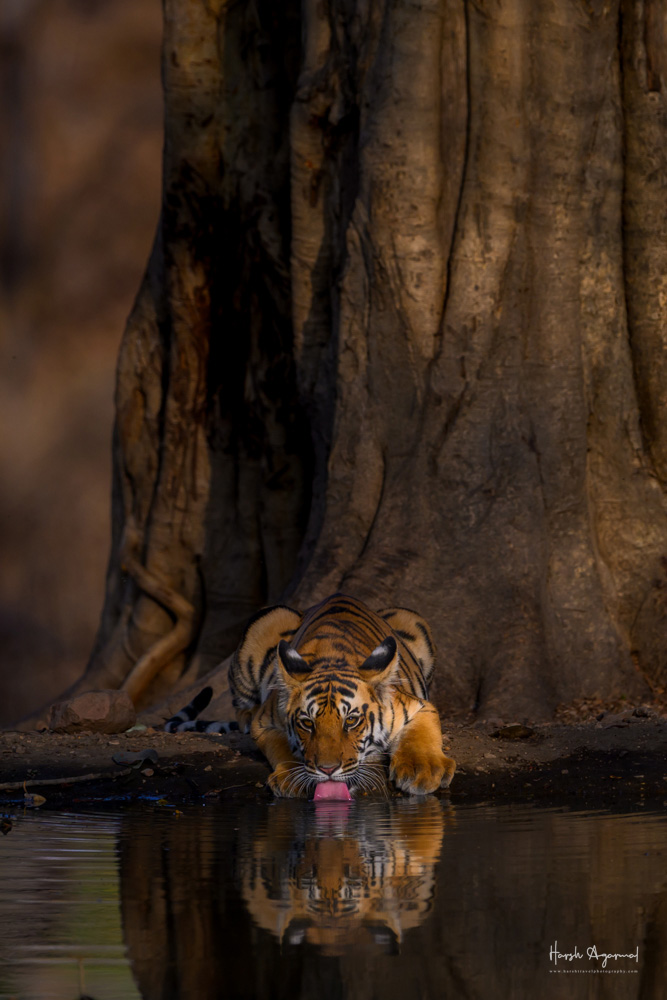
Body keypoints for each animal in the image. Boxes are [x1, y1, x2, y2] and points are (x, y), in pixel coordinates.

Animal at [166, 594, 456, 798]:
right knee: (241, 706)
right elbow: (280, 746)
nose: (327, 770)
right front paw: (290, 778)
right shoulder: (265, 721)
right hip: (268, 620)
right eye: (307, 723)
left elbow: (420, 737)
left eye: (351, 721)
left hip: (410, 618)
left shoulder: (417, 705)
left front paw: (422, 771)